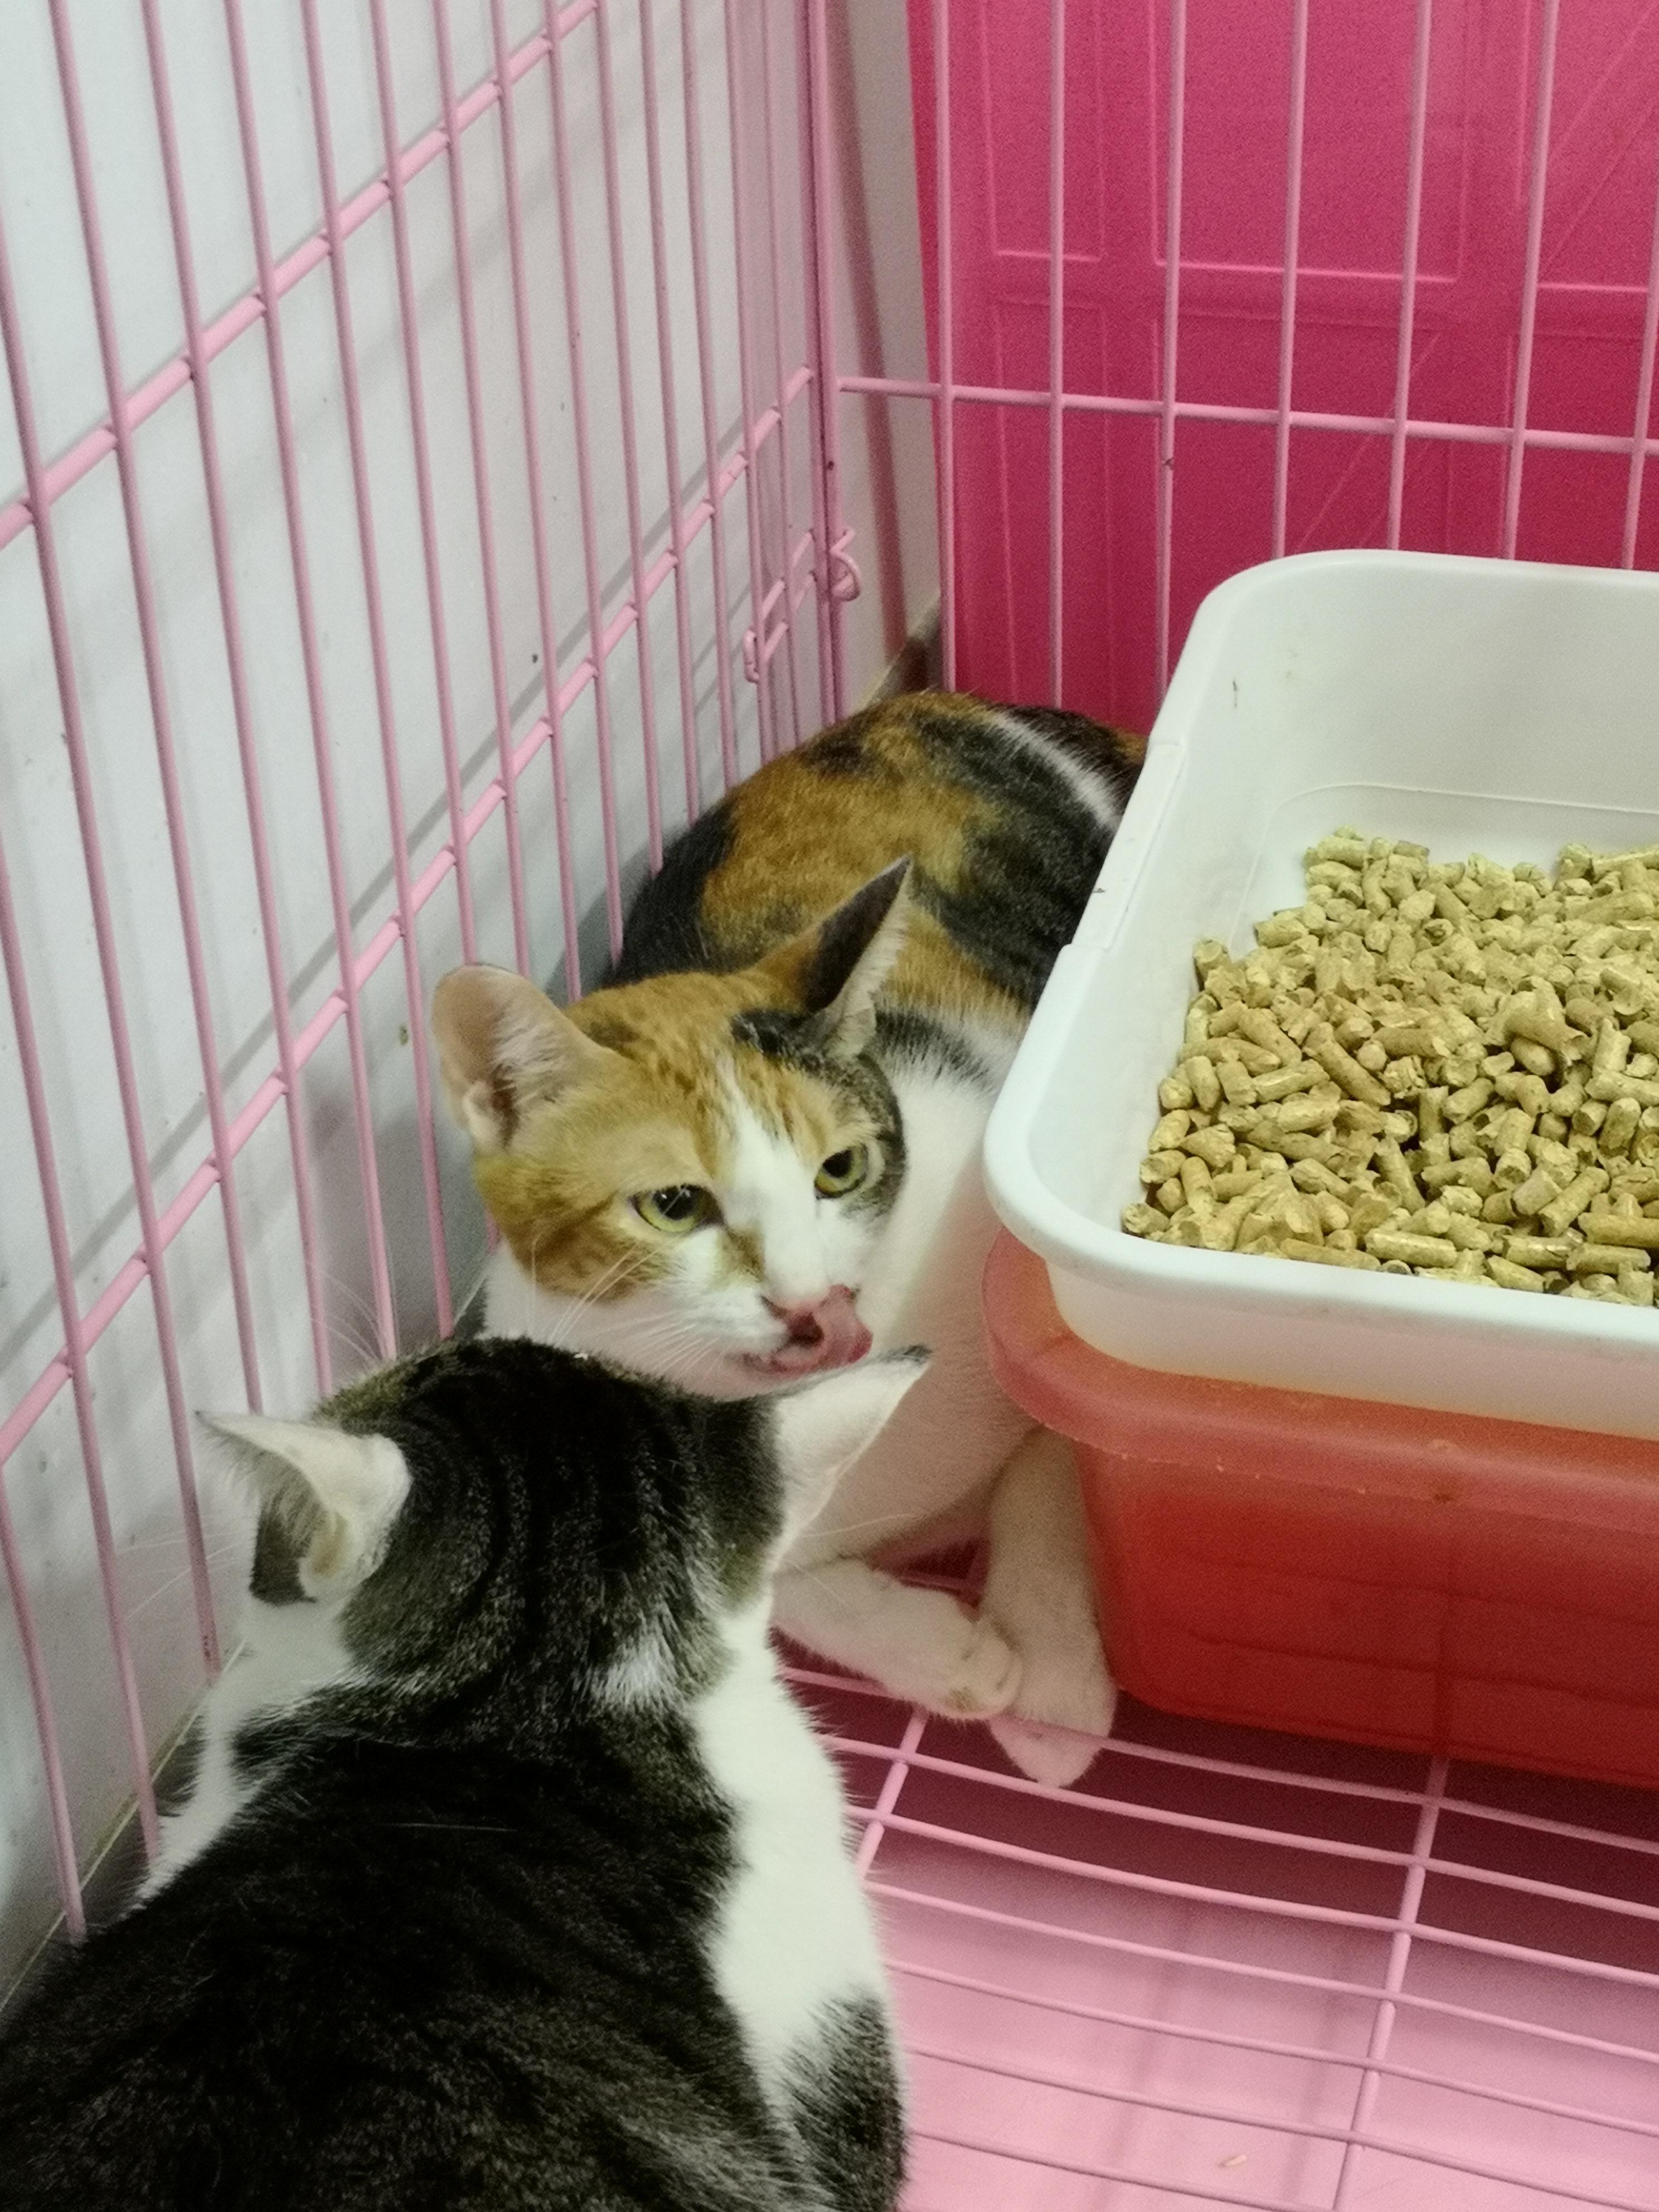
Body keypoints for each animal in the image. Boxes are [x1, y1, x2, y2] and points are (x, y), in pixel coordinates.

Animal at [432, 689, 1144, 1788]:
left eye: (839, 1170)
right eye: (673, 1205)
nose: (810, 1304)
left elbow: (1055, 1463)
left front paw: (1053, 1694)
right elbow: (769, 1582)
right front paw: (950, 1658)